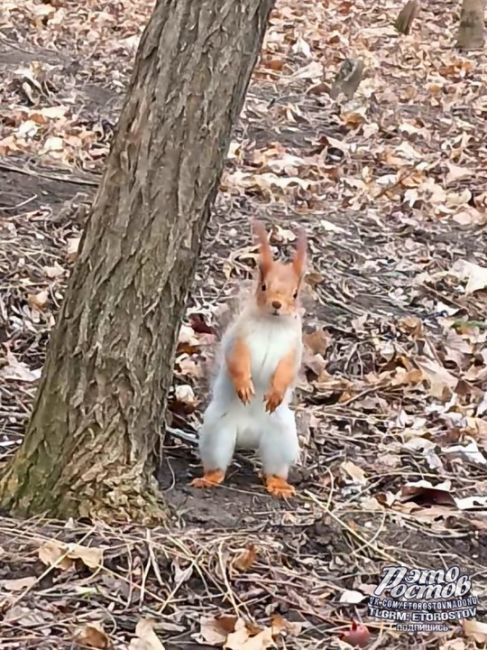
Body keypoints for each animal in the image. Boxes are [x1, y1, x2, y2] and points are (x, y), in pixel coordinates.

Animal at [191, 218, 304, 496]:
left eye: (295, 293)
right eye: (264, 286)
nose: (276, 305)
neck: (272, 324)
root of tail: (249, 436)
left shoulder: (293, 348)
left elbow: (287, 370)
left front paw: (275, 392)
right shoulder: (238, 339)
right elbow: (237, 361)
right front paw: (243, 385)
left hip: (281, 437)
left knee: (275, 466)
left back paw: (279, 485)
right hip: (217, 432)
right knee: (217, 462)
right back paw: (209, 478)